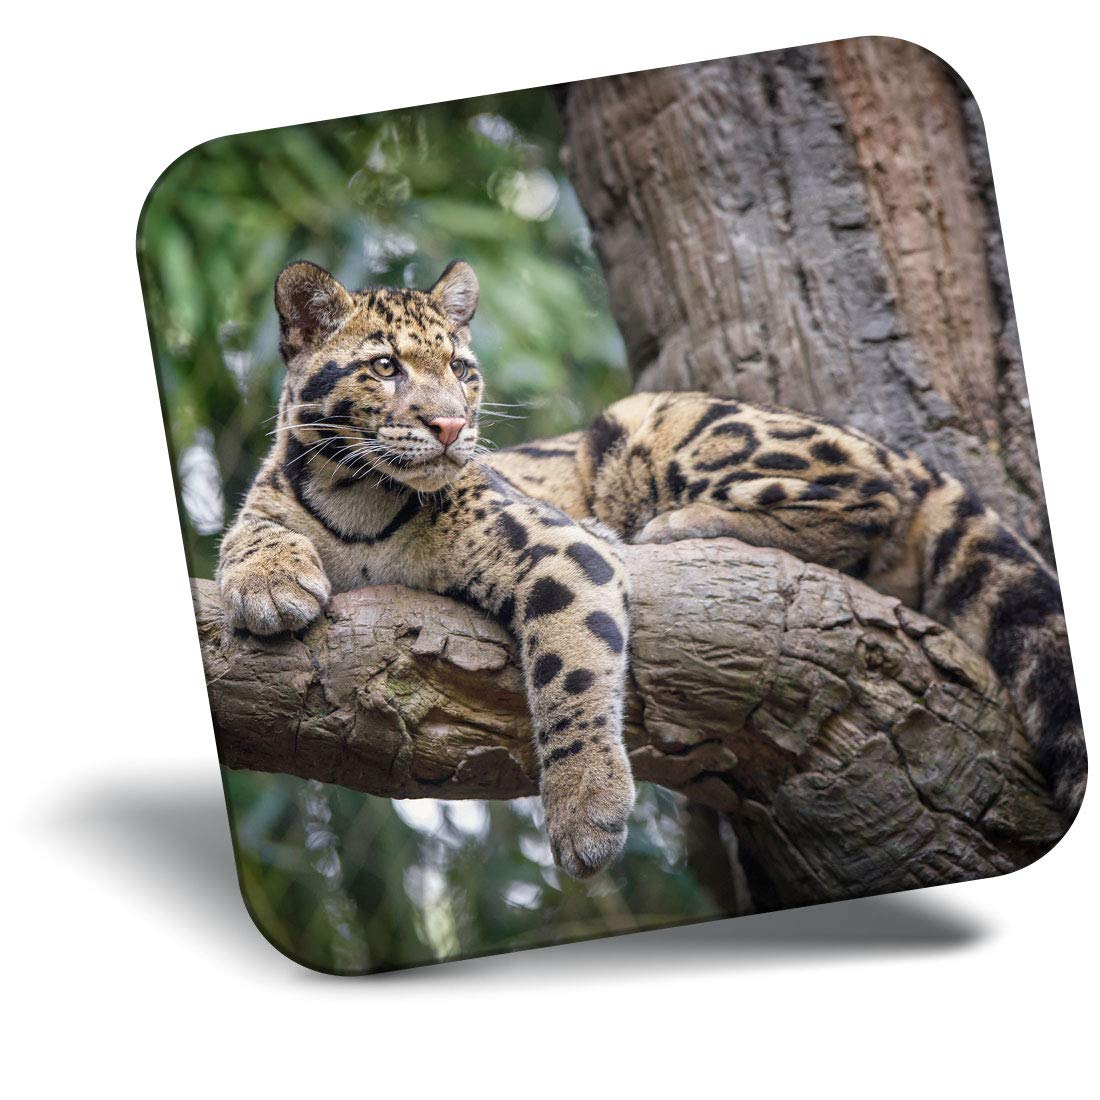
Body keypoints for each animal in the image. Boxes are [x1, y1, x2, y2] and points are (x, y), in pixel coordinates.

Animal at [218, 259, 1086, 878]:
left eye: (461, 370)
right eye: (386, 368)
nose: (452, 426)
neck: (359, 494)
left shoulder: (558, 544)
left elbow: (570, 670)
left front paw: (586, 812)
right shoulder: (272, 500)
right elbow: (247, 531)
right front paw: (269, 583)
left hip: (661, 423)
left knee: (873, 493)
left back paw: (679, 523)